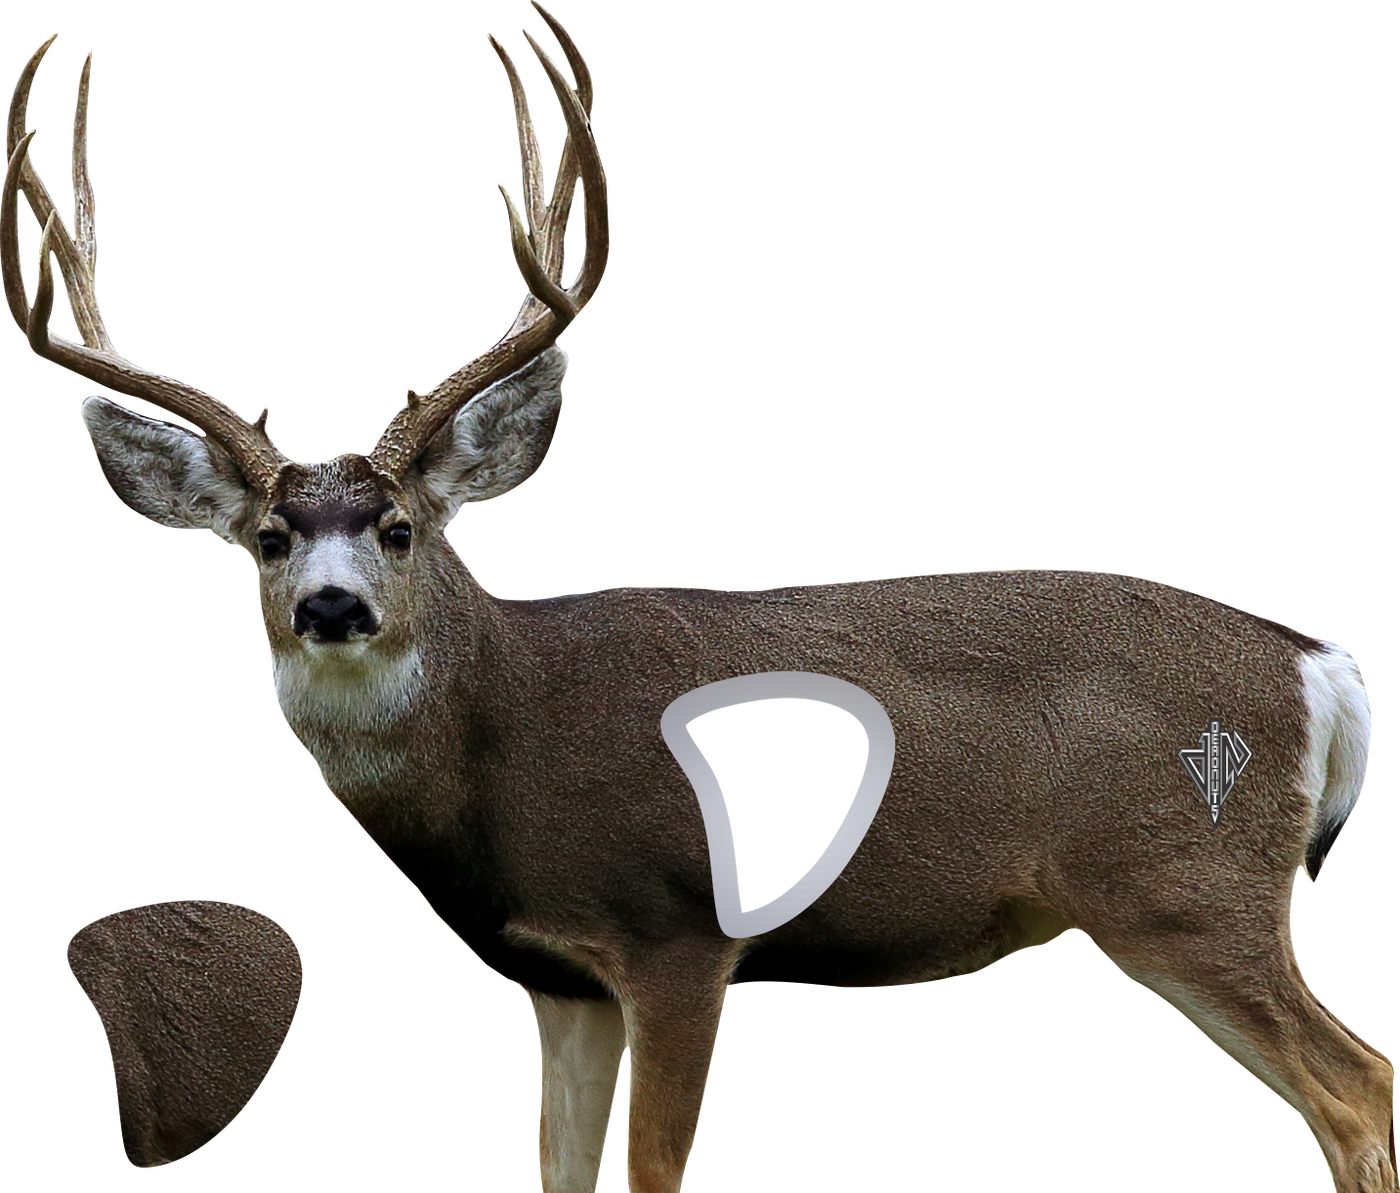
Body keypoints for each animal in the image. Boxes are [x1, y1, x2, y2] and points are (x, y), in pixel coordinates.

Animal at [5, 6, 1395, 1191]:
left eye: (400, 527)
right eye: (266, 539)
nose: (333, 608)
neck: (510, 736)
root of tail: (1315, 662)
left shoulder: (679, 933)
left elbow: (653, 1168)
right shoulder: (557, 981)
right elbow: (560, 1171)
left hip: (1184, 880)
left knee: (1357, 1080)